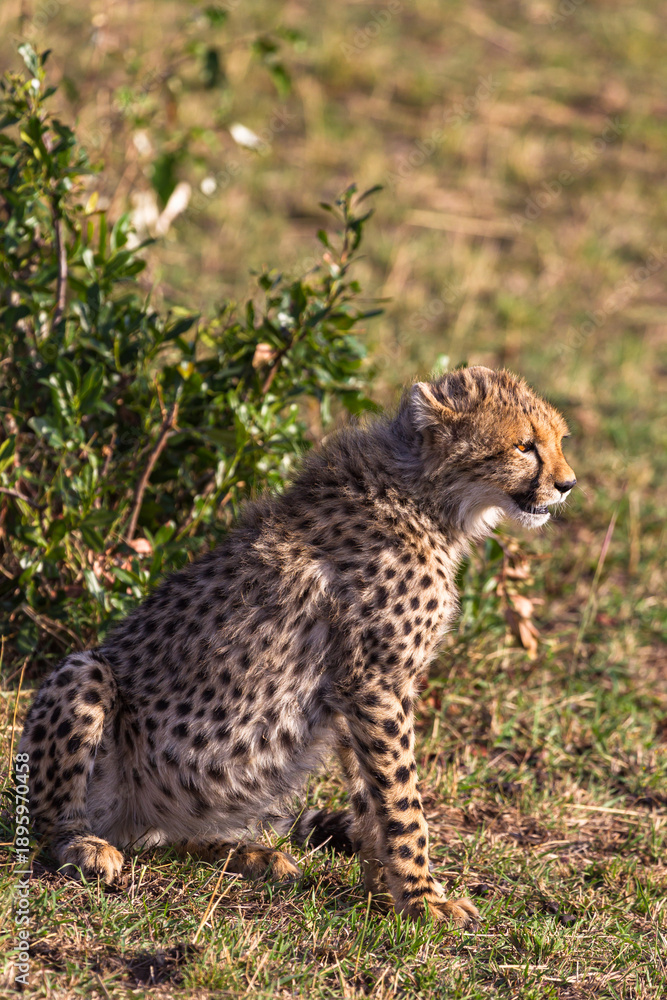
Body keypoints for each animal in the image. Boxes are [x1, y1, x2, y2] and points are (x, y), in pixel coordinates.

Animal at [18, 365, 576, 927]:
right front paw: (422, 898)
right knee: (49, 820)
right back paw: (84, 844)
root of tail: (132, 821)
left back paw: (247, 853)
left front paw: (382, 888)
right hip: (85, 673)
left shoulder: (358, 689)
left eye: (558, 440)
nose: (567, 484)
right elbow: (401, 797)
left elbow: (370, 793)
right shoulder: (376, 683)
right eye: (524, 445)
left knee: (168, 840)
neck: (425, 496)